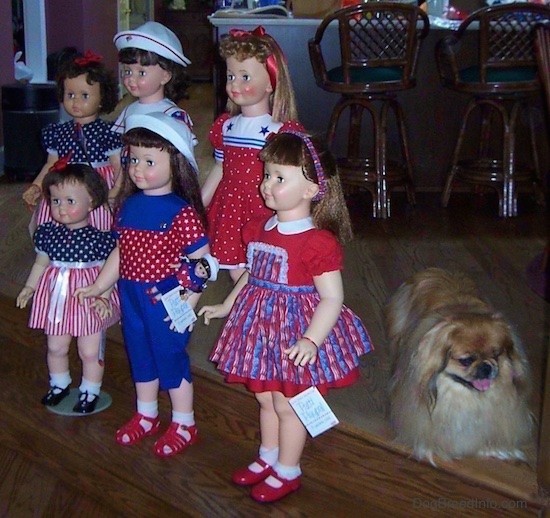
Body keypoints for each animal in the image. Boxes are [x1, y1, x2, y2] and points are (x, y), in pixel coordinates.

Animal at [388, 270, 536, 466]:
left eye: (496, 354)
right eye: (466, 360)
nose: (486, 367)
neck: (469, 399)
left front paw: (496, 450)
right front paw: (429, 448)